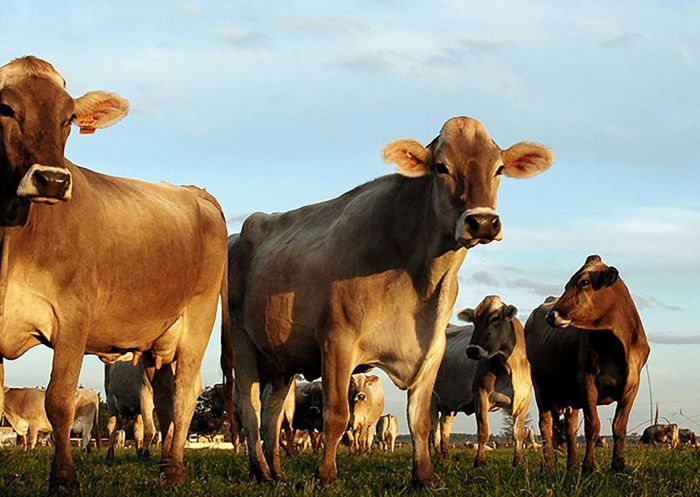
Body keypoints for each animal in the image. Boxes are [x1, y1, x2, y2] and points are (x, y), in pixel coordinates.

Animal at [0, 56, 227, 490]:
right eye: (4, 107)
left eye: (68, 118)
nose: (53, 179)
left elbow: (58, 400)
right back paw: (162, 464)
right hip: (157, 342)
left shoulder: (72, 318)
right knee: (164, 401)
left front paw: (64, 477)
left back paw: (174, 469)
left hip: (198, 319)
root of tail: (196, 191)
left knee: (185, 393)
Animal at [221, 115, 556, 484]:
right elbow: (336, 415)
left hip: (282, 358)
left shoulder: (431, 349)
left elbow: (420, 420)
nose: (482, 221)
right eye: (441, 167)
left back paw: (277, 471)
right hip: (242, 343)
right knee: (251, 411)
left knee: (272, 415)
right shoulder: (336, 340)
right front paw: (326, 474)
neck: (419, 282)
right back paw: (261, 471)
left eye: (498, 169)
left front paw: (424, 476)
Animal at [524, 256, 652, 472]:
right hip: (541, 389)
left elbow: (619, 426)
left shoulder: (632, 386)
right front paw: (589, 467)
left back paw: (572, 466)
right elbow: (593, 425)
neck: (619, 346)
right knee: (546, 426)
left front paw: (618, 465)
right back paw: (548, 466)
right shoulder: (586, 381)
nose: (551, 315)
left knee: (569, 428)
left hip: (570, 396)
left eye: (583, 282)